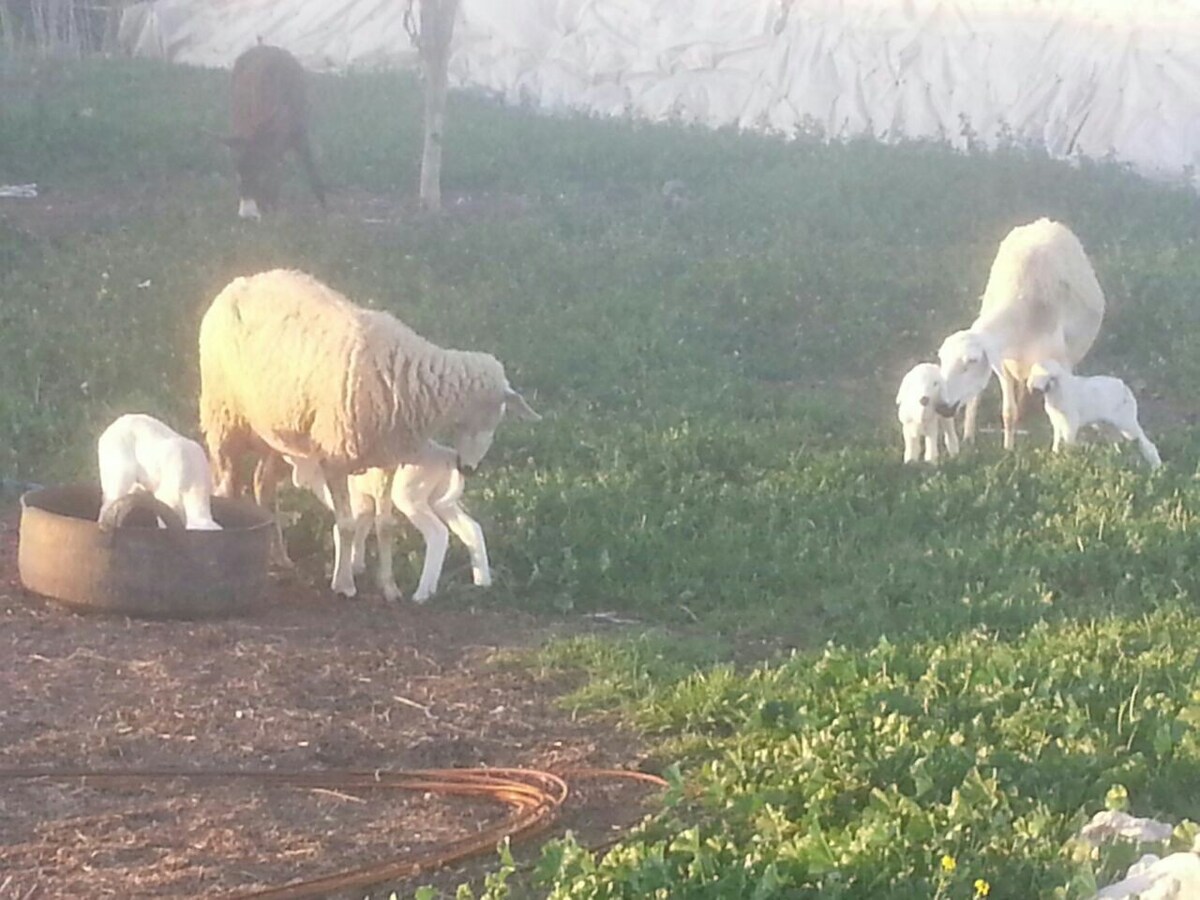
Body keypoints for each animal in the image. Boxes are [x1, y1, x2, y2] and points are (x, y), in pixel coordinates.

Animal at [285, 441, 487, 602]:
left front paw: (341, 582)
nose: (297, 482)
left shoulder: (356, 503)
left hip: (409, 496)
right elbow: (360, 534)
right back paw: (482, 582)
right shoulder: (366, 504)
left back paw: (422, 594)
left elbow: (341, 531)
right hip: (441, 500)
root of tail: (449, 457)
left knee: (438, 533)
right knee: (472, 528)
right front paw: (356, 566)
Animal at [936, 219, 1104, 451]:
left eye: (972, 361)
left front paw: (1061, 451)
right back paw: (970, 434)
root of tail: (1044, 221)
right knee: (978, 398)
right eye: (941, 360)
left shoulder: (1058, 363)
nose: (941, 407)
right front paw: (1009, 449)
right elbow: (1008, 412)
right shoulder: (1003, 364)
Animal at [1022, 360, 1161, 468]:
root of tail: (1125, 388)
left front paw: (1067, 459)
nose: (1033, 388)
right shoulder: (1056, 421)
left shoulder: (1070, 421)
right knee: (1118, 441)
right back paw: (1117, 458)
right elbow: (1057, 439)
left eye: (1049, 376)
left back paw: (1156, 465)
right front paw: (1055, 454)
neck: (1056, 390)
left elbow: (1068, 440)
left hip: (1126, 423)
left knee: (1145, 442)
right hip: (1107, 426)